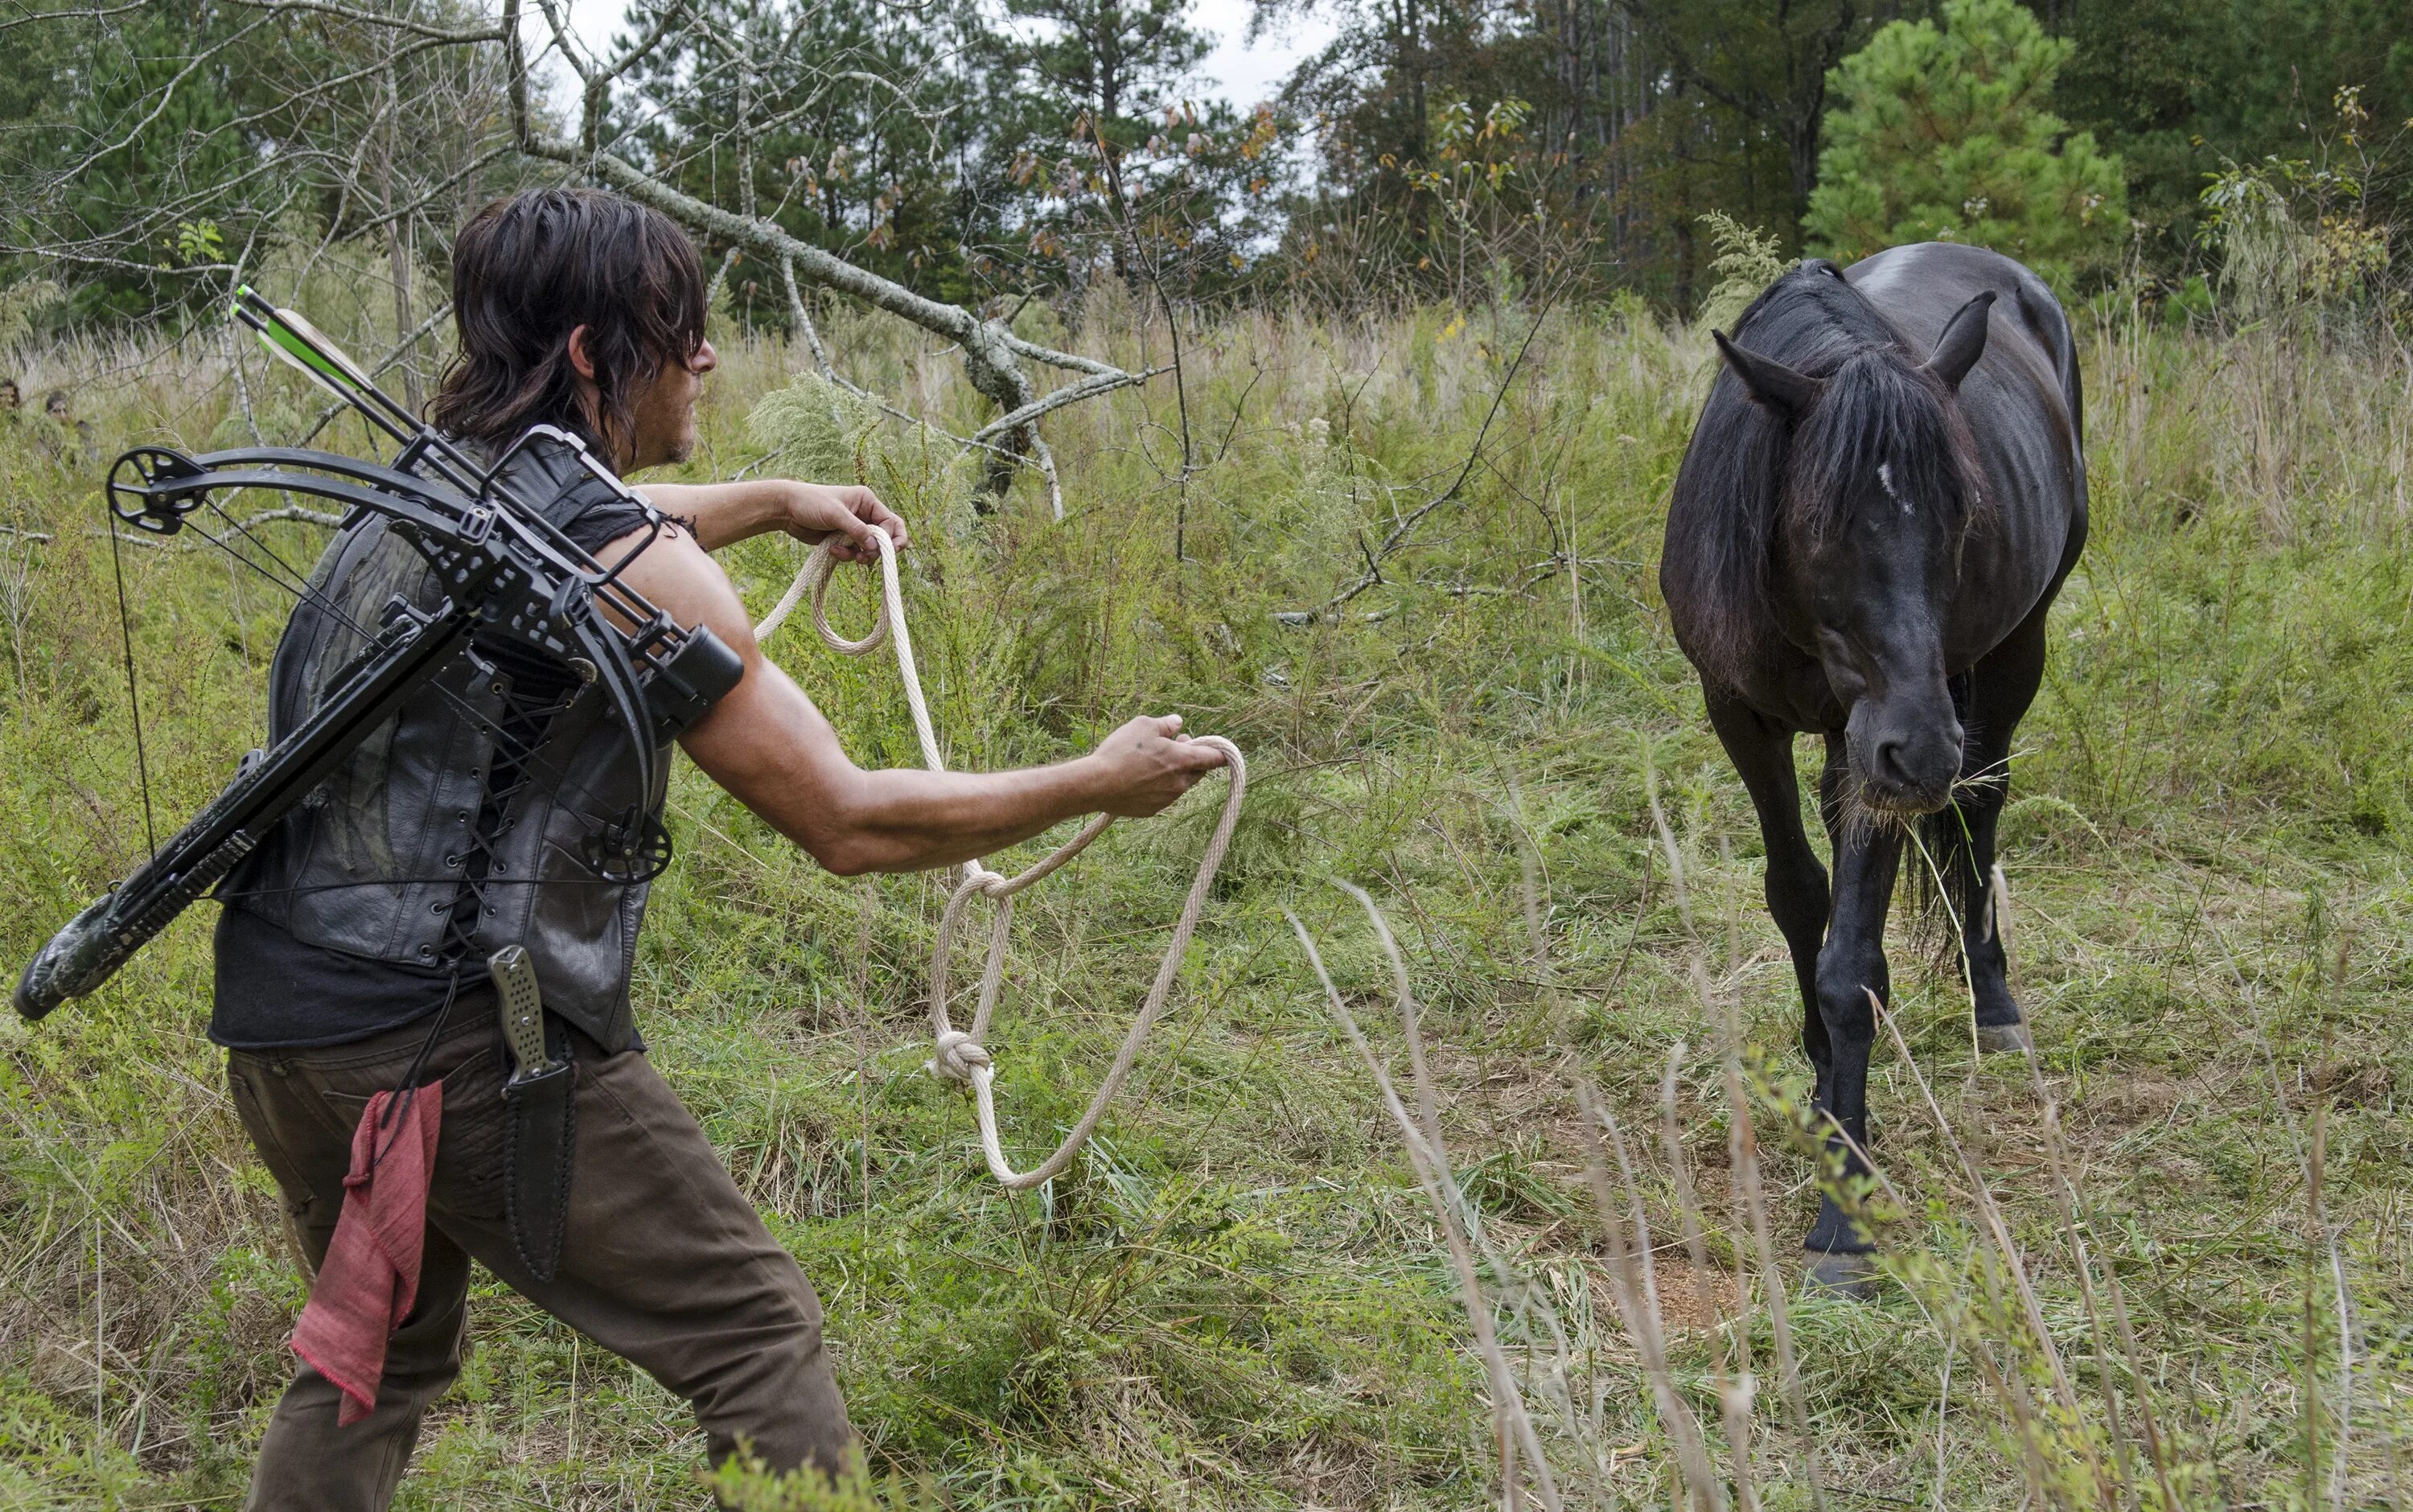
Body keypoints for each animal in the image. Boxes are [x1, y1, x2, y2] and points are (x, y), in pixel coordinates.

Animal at [1670, 245, 2085, 1292]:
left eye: (1964, 516)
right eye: (1819, 523)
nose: (1923, 747)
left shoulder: (1882, 758)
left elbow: (1851, 961)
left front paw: (1843, 1207)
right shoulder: (1742, 715)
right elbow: (1795, 893)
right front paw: (1822, 1077)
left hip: (2015, 651)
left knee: (1981, 813)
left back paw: (1995, 1002)